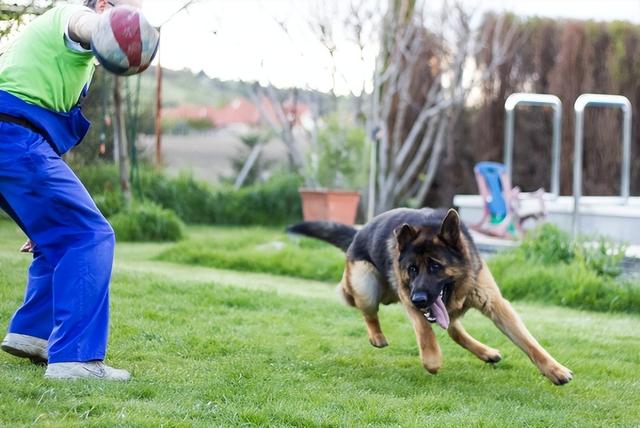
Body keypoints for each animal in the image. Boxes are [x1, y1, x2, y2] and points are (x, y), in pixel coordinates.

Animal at [288, 207, 572, 384]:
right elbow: (425, 331)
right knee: (365, 308)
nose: (420, 299)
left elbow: (530, 343)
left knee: (455, 330)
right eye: (412, 269)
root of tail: (359, 232)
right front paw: (432, 360)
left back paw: (485, 352)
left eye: (436, 266)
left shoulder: (496, 304)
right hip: (369, 287)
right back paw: (377, 336)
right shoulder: (409, 299)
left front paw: (555, 370)